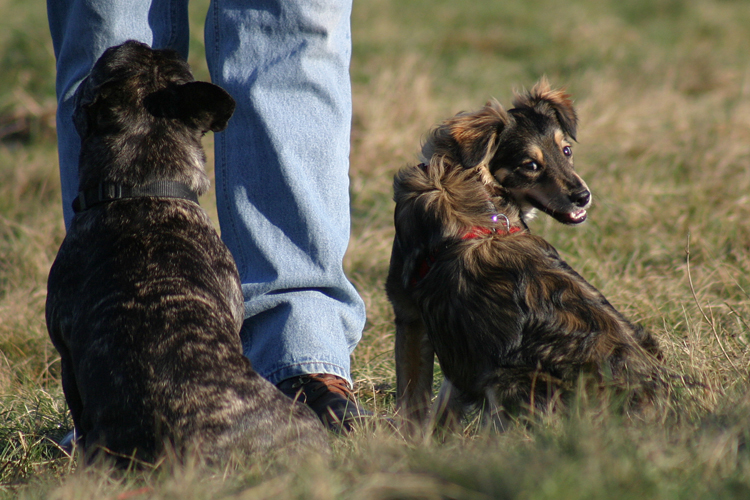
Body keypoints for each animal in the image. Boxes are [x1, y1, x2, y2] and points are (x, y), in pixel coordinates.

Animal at [388, 78, 664, 430]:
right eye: (530, 165)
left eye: (566, 150)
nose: (583, 196)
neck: (465, 179)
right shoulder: (462, 338)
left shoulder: (411, 317)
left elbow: (413, 406)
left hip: (506, 379)